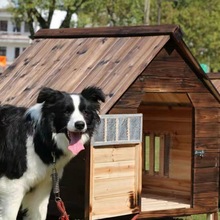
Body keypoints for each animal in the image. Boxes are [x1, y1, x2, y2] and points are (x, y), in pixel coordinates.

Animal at [0, 87, 105, 219]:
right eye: (66, 111)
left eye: (85, 112)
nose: (80, 125)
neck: (41, 137)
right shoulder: (12, 185)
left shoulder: (42, 185)